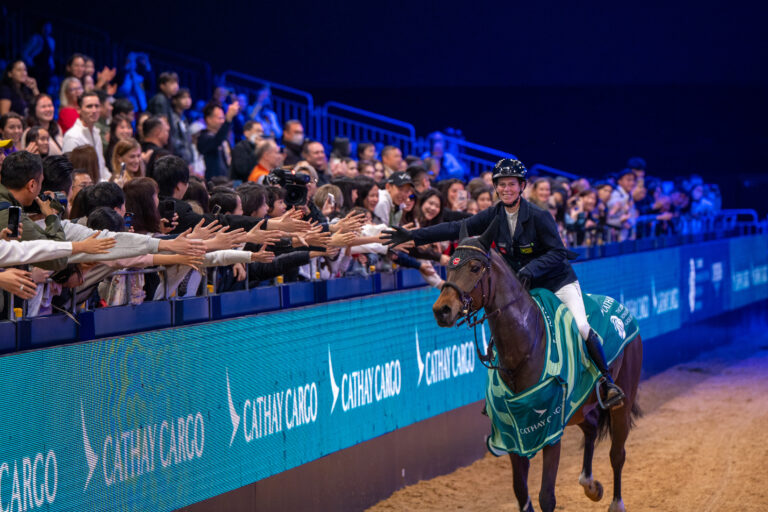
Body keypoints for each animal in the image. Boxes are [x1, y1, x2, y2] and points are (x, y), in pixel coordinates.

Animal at [432, 220, 643, 512]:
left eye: (474, 267)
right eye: (449, 267)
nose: (441, 310)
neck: (526, 346)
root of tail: (624, 311)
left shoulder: (550, 430)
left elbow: (546, 496)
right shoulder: (513, 434)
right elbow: (522, 493)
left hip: (622, 400)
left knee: (617, 453)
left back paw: (616, 502)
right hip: (578, 407)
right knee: (590, 429)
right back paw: (590, 485)